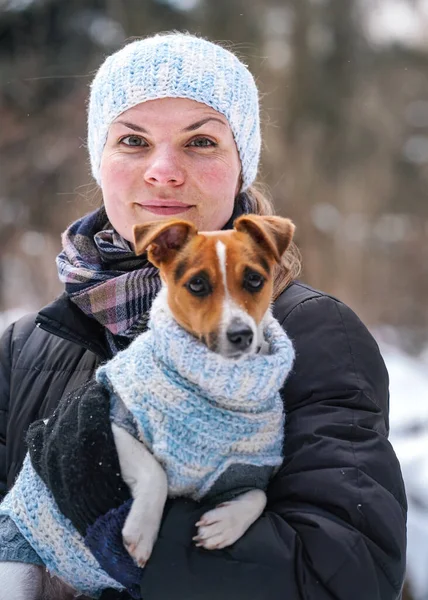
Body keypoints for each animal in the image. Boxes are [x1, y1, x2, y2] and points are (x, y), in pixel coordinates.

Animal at [0, 213, 294, 596]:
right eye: (197, 284)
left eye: (254, 279)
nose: (241, 334)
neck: (212, 387)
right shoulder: (102, 425)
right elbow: (154, 471)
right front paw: (141, 532)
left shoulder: (241, 470)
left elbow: (259, 497)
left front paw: (224, 524)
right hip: (18, 573)